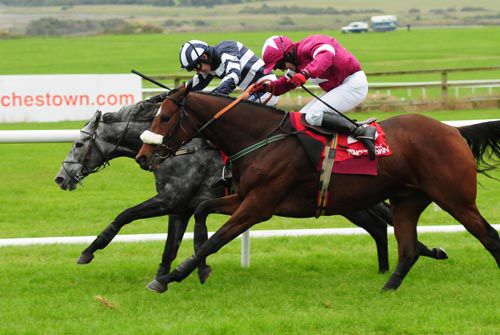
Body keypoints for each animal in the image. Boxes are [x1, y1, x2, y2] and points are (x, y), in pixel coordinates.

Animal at [137, 85, 500, 292]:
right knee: (408, 247)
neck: (260, 138)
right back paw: (387, 288)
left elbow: (216, 240)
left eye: (165, 117)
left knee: (488, 235)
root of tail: (454, 132)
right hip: (407, 200)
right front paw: (199, 270)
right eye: (155, 115)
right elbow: (200, 213)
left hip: (455, 198)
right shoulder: (243, 197)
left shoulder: (258, 207)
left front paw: (169, 277)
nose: (144, 156)